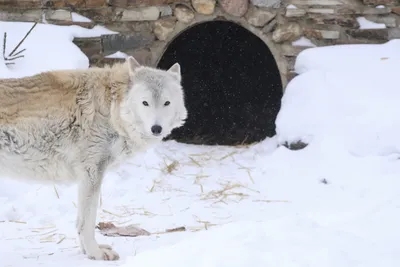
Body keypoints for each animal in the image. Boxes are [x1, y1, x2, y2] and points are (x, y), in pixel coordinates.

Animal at [0, 57, 188, 262]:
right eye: (145, 103)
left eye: (166, 103)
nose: (156, 128)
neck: (111, 108)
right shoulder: (92, 172)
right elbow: (87, 222)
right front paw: (95, 253)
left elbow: (80, 221)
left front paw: (86, 253)